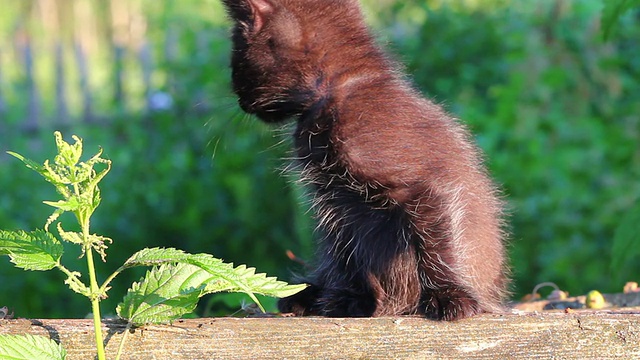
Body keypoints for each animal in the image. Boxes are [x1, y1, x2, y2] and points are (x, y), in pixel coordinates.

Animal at [222, 0, 508, 320]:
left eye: (235, 61)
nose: (239, 100)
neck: (337, 88)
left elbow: (436, 242)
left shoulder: (420, 186)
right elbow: (345, 250)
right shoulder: (337, 199)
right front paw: (347, 298)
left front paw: (448, 295)